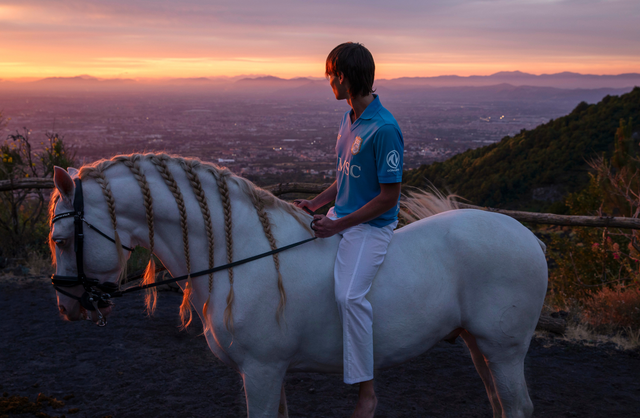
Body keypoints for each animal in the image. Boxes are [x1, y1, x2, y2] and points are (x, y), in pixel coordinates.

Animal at [50, 153, 548, 418]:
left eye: (60, 240)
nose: (67, 305)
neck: (240, 255)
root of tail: (529, 237)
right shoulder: (271, 372)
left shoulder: (262, 370)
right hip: (477, 344)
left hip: (504, 350)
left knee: (518, 407)